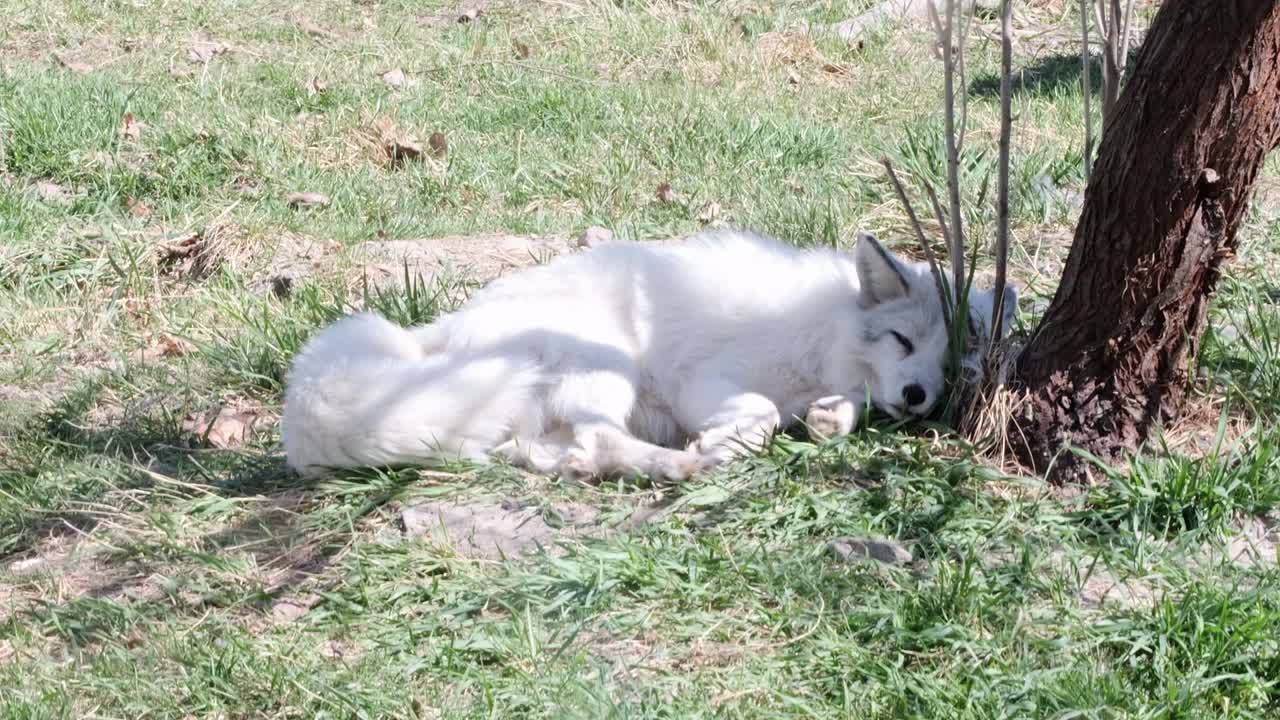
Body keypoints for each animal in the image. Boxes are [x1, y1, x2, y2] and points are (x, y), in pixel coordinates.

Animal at [281, 230, 1016, 481]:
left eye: (950, 370)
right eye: (903, 342)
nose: (918, 398)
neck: (825, 330)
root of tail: (437, 333)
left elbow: (834, 414)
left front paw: (830, 419)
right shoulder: (705, 379)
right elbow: (758, 410)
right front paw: (729, 441)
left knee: (564, 454)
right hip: (610, 370)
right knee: (596, 441)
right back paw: (680, 464)